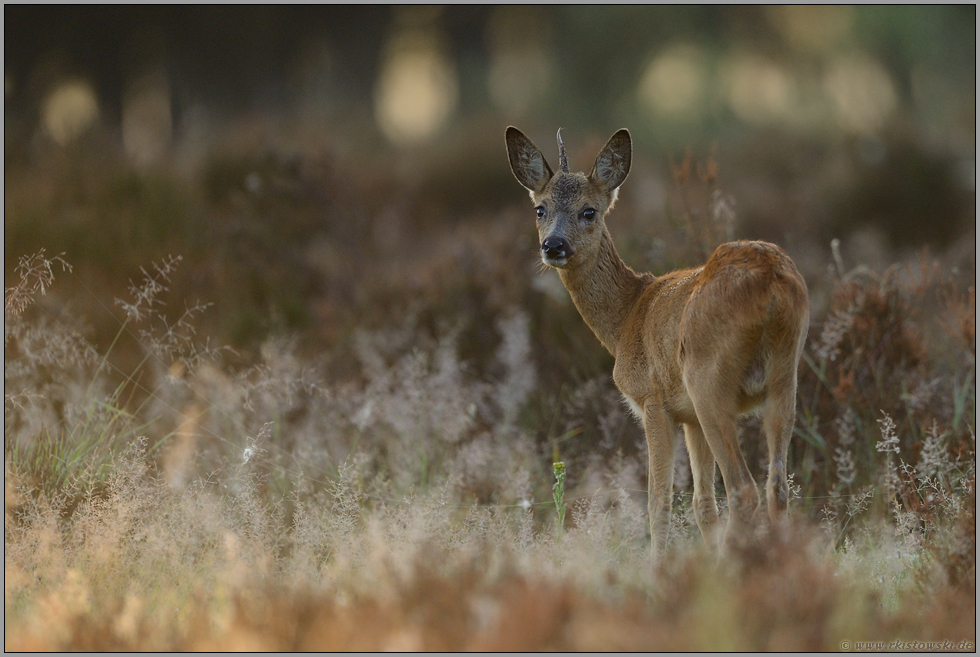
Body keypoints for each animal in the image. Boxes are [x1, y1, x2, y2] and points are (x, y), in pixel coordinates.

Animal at [506, 125, 812, 556]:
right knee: (777, 487)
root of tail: (772, 282)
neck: (626, 317)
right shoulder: (688, 418)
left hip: (709, 382)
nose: (553, 246)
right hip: (786, 379)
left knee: (744, 490)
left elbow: (658, 500)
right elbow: (703, 504)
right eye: (540, 209)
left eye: (589, 210)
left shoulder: (652, 400)